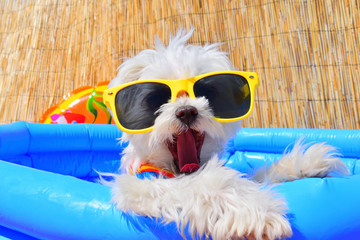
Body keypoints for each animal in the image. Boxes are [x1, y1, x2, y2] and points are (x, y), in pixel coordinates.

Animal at [102, 29, 350, 239]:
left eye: (208, 92)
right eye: (155, 99)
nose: (186, 111)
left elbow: (255, 176)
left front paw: (302, 163)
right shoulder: (139, 189)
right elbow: (201, 184)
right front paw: (253, 210)